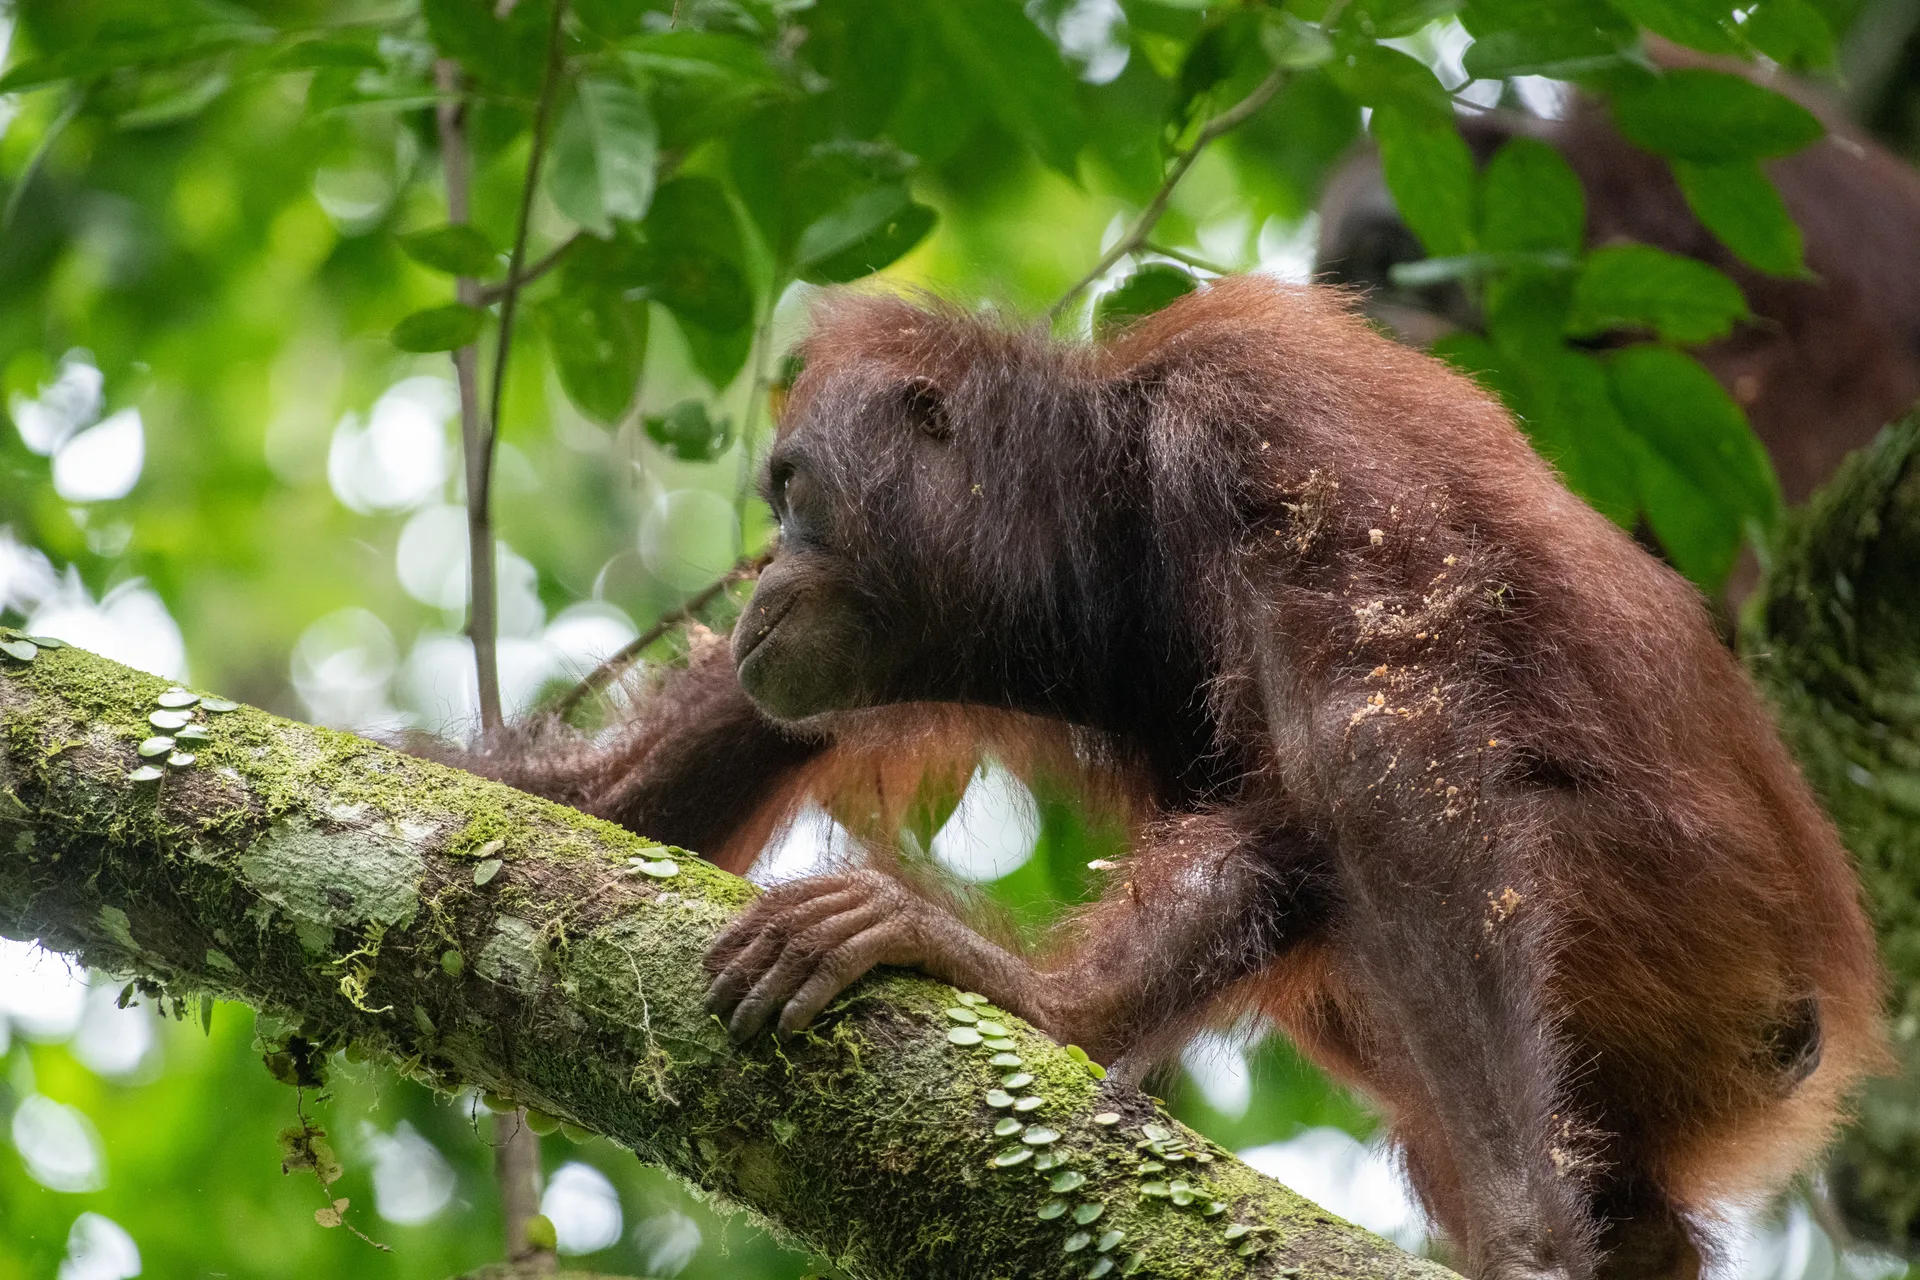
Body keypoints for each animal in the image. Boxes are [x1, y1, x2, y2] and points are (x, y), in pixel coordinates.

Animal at [449, 277, 1883, 1280]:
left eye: (795, 495)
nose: (764, 581)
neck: (1117, 508)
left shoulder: (1256, 410)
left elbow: (1387, 752)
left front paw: (1527, 1242)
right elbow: (649, 787)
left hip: (1682, 921)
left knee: (1341, 814)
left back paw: (1043, 1003)